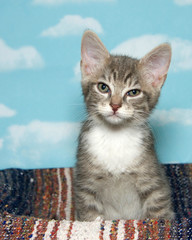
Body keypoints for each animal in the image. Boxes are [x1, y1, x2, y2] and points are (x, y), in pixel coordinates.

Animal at [74, 30, 175, 221]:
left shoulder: (154, 184)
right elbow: (90, 219)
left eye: (133, 92)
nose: (115, 105)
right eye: (103, 87)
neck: (116, 136)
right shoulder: (86, 186)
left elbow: (159, 215)